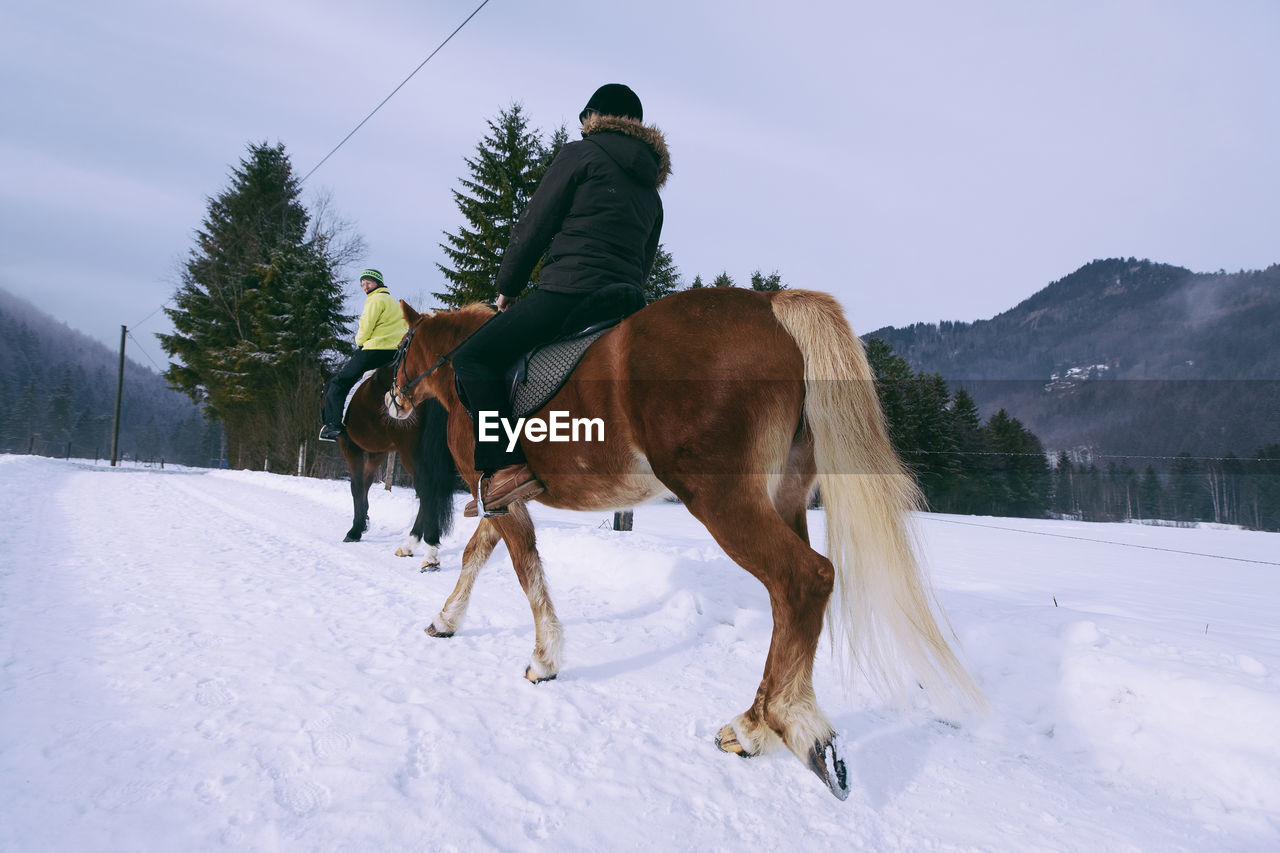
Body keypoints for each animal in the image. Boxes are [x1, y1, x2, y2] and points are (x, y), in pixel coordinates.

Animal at [337, 361, 458, 568]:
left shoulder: (350, 446)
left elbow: (356, 486)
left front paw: (356, 529)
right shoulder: (377, 452)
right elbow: (366, 483)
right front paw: (364, 520)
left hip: (410, 452)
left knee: (426, 491)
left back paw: (423, 549)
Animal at [384, 286, 983, 799]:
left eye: (400, 348)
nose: (392, 400)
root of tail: (773, 306)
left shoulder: (498, 494)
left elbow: (524, 567)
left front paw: (544, 658)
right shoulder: (500, 498)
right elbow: (479, 554)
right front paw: (446, 620)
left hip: (720, 497)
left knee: (804, 579)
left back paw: (765, 725)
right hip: (785, 495)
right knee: (790, 599)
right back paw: (777, 723)